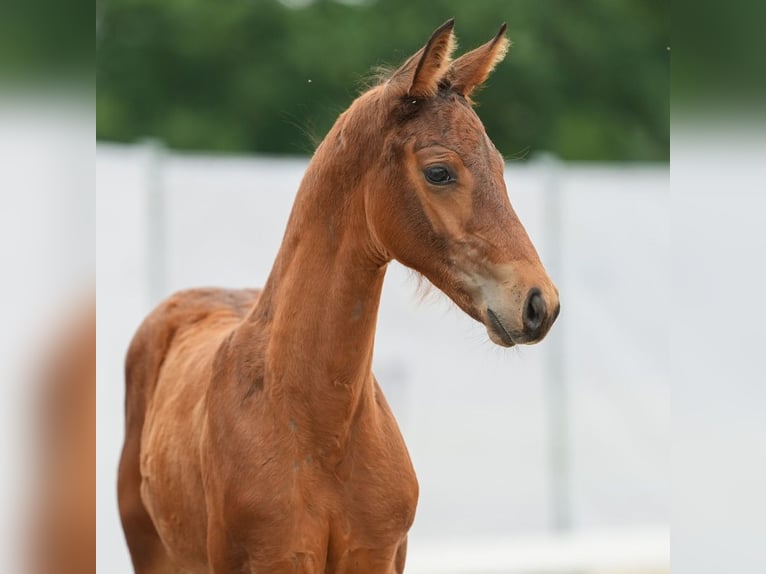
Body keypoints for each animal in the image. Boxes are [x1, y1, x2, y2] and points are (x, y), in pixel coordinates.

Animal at [121, 19, 564, 574]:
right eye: (439, 171)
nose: (539, 304)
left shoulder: (376, 555)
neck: (319, 431)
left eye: (500, 168)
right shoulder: (274, 559)